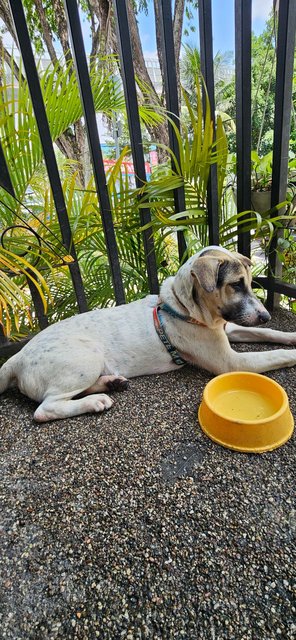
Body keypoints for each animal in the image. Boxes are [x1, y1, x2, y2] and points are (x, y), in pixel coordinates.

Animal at [0, 245, 294, 420]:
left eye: (250, 283)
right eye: (236, 284)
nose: (265, 314)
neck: (181, 308)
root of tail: (16, 358)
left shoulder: (228, 328)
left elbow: (269, 334)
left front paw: (289, 336)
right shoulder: (231, 361)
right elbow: (276, 354)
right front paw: (292, 353)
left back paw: (111, 383)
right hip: (85, 358)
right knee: (45, 409)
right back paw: (95, 402)